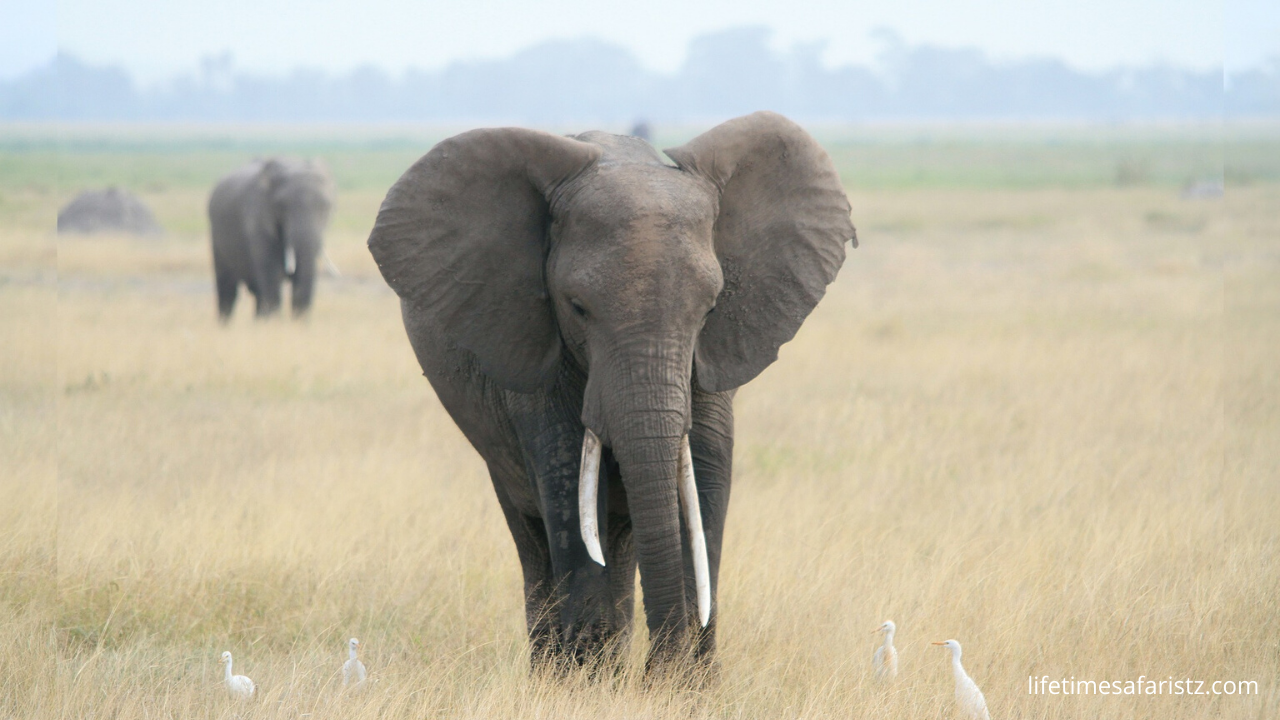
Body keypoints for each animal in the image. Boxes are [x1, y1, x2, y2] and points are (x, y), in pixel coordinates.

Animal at [209, 158, 334, 320]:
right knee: (228, 290)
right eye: (282, 206)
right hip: (216, 240)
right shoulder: (258, 221)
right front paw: (274, 322)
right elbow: (272, 276)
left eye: (327, 207)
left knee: (257, 293)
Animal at [368, 111, 856, 674]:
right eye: (577, 307)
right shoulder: (537, 354)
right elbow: (568, 486)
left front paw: (688, 685)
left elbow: (706, 478)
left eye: (710, 308)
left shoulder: (713, 357)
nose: (657, 673)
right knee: (535, 531)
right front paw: (586, 681)